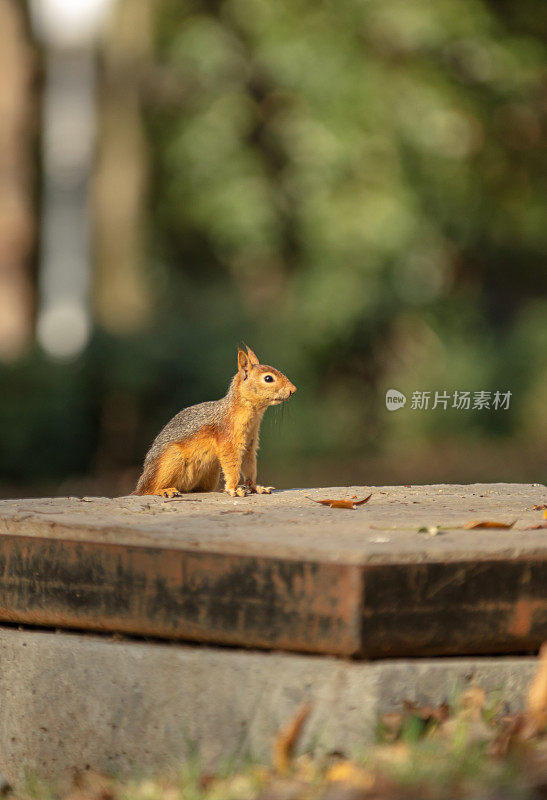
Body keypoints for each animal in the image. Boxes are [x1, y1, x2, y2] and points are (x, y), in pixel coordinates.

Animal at [133, 346, 296, 496]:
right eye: (268, 378)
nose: (293, 390)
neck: (251, 414)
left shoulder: (249, 444)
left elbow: (249, 466)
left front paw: (255, 487)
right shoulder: (227, 437)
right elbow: (231, 465)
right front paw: (233, 488)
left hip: (211, 471)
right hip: (171, 459)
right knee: (147, 490)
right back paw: (164, 490)